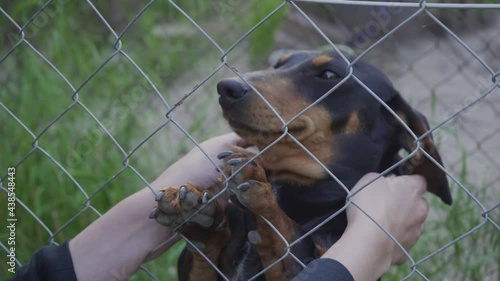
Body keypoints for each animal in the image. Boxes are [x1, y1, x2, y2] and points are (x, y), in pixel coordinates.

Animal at [150, 50, 452, 280]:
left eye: (329, 75)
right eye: (278, 64)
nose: (227, 88)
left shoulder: (304, 262)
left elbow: (290, 234)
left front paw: (261, 191)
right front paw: (195, 217)